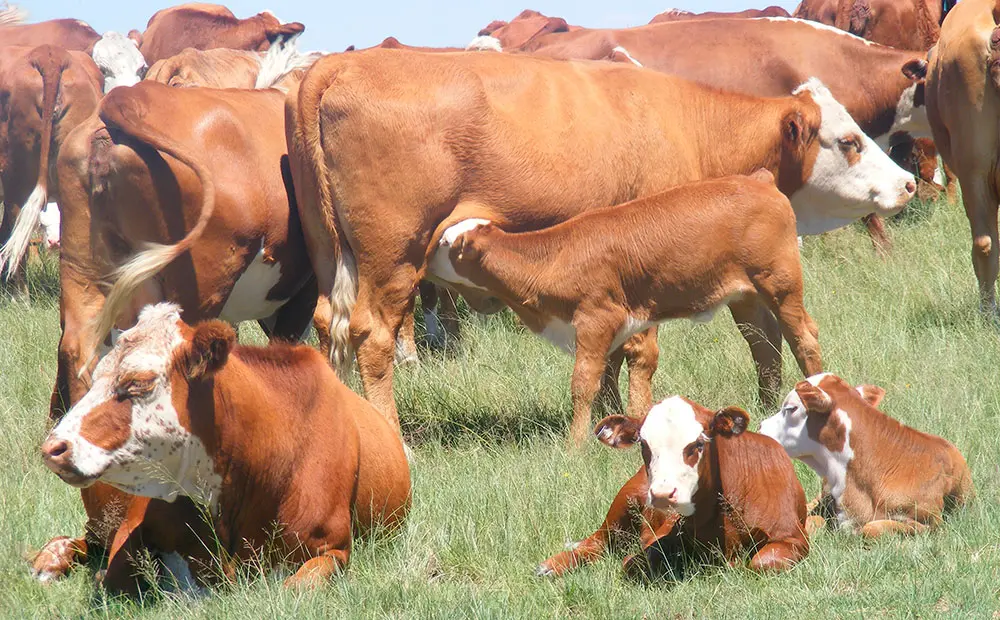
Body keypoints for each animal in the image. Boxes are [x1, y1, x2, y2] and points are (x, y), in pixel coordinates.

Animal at [39, 303, 411, 593]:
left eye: (137, 382)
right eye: (95, 377)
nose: (53, 448)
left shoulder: (333, 549)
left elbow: (295, 587)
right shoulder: (133, 527)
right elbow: (113, 579)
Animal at [443, 171, 821, 444]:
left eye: (446, 243)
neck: (557, 256)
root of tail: (759, 179)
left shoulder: (597, 320)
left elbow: (586, 380)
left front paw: (576, 446)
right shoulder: (616, 329)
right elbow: (608, 375)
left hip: (781, 285)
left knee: (803, 338)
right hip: (746, 297)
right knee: (764, 343)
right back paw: (766, 404)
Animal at [537, 397, 809, 577]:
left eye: (698, 443)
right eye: (643, 444)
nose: (662, 494)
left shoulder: (793, 538)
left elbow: (761, 562)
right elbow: (638, 560)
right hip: (623, 503)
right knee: (596, 541)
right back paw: (551, 566)